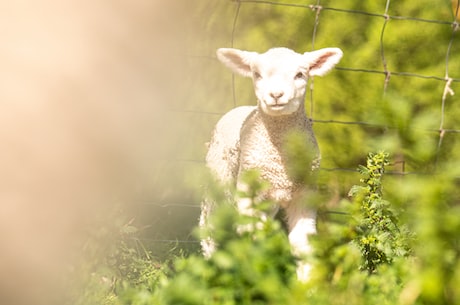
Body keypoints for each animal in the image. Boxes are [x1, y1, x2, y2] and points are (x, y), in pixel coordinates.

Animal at [200, 45, 342, 280]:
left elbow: (302, 243)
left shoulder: (304, 194)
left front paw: (306, 283)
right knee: (209, 224)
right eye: (257, 75)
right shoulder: (247, 192)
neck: (279, 157)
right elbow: (255, 235)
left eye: (300, 74)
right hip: (218, 178)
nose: (276, 95)